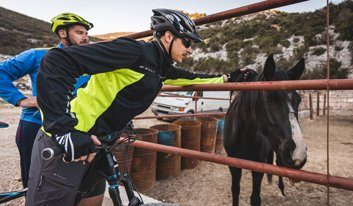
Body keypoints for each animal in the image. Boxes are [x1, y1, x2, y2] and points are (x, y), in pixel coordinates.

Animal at [224, 55, 306, 206]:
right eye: (270, 98)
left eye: (298, 99)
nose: (299, 154)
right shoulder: (233, 165)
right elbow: (235, 191)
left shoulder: (259, 167)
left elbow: (255, 198)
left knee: (279, 163)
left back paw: (282, 190)